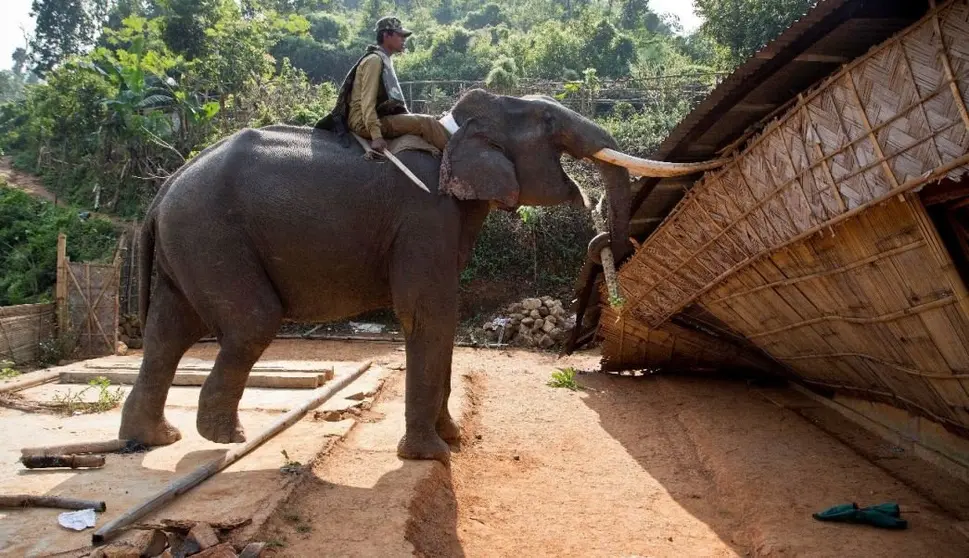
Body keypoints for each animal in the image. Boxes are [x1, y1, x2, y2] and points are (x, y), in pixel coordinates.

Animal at [117, 87, 716, 464]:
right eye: (548, 124)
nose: (602, 236)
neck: (456, 128)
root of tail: (162, 191)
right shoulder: (425, 215)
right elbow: (429, 311)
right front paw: (432, 457)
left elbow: (441, 315)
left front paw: (454, 439)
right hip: (212, 235)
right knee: (247, 323)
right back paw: (225, 437)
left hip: (190, 244)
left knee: (168, 331)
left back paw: (155, 440)